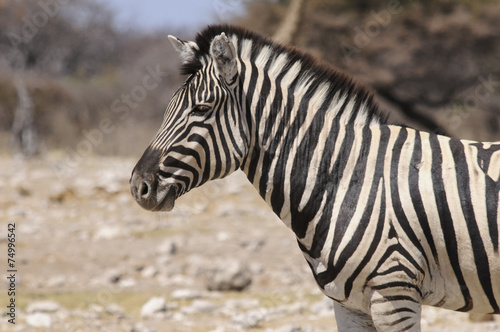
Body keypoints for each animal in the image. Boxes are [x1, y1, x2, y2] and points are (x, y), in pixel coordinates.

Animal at [130, 26, 500, 332]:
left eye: (202, 109)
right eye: (168, 108)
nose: (138, 187)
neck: (346, 178)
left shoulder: (395, 295)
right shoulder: (350, 305)